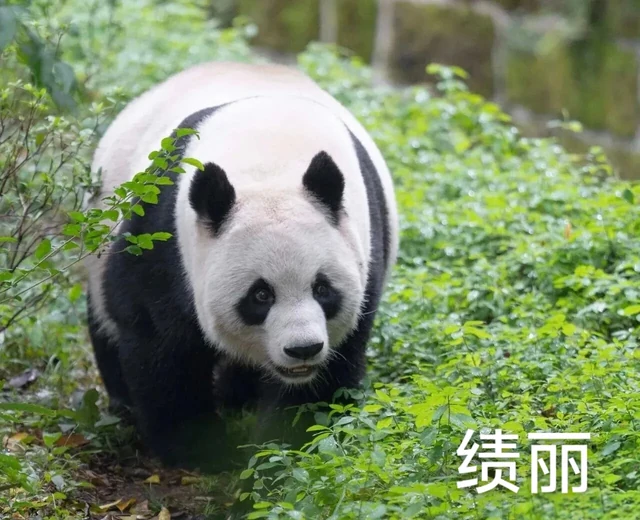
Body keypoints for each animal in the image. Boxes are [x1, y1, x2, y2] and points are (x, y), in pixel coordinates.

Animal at [86, 62, 398, 470]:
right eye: (260, 295)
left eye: (322, 289)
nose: (303, 349)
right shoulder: (164, 240)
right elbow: (162, 343)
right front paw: (202, 449)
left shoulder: (364, 252)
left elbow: (325, 375)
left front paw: (279, 453)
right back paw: (124, 404)